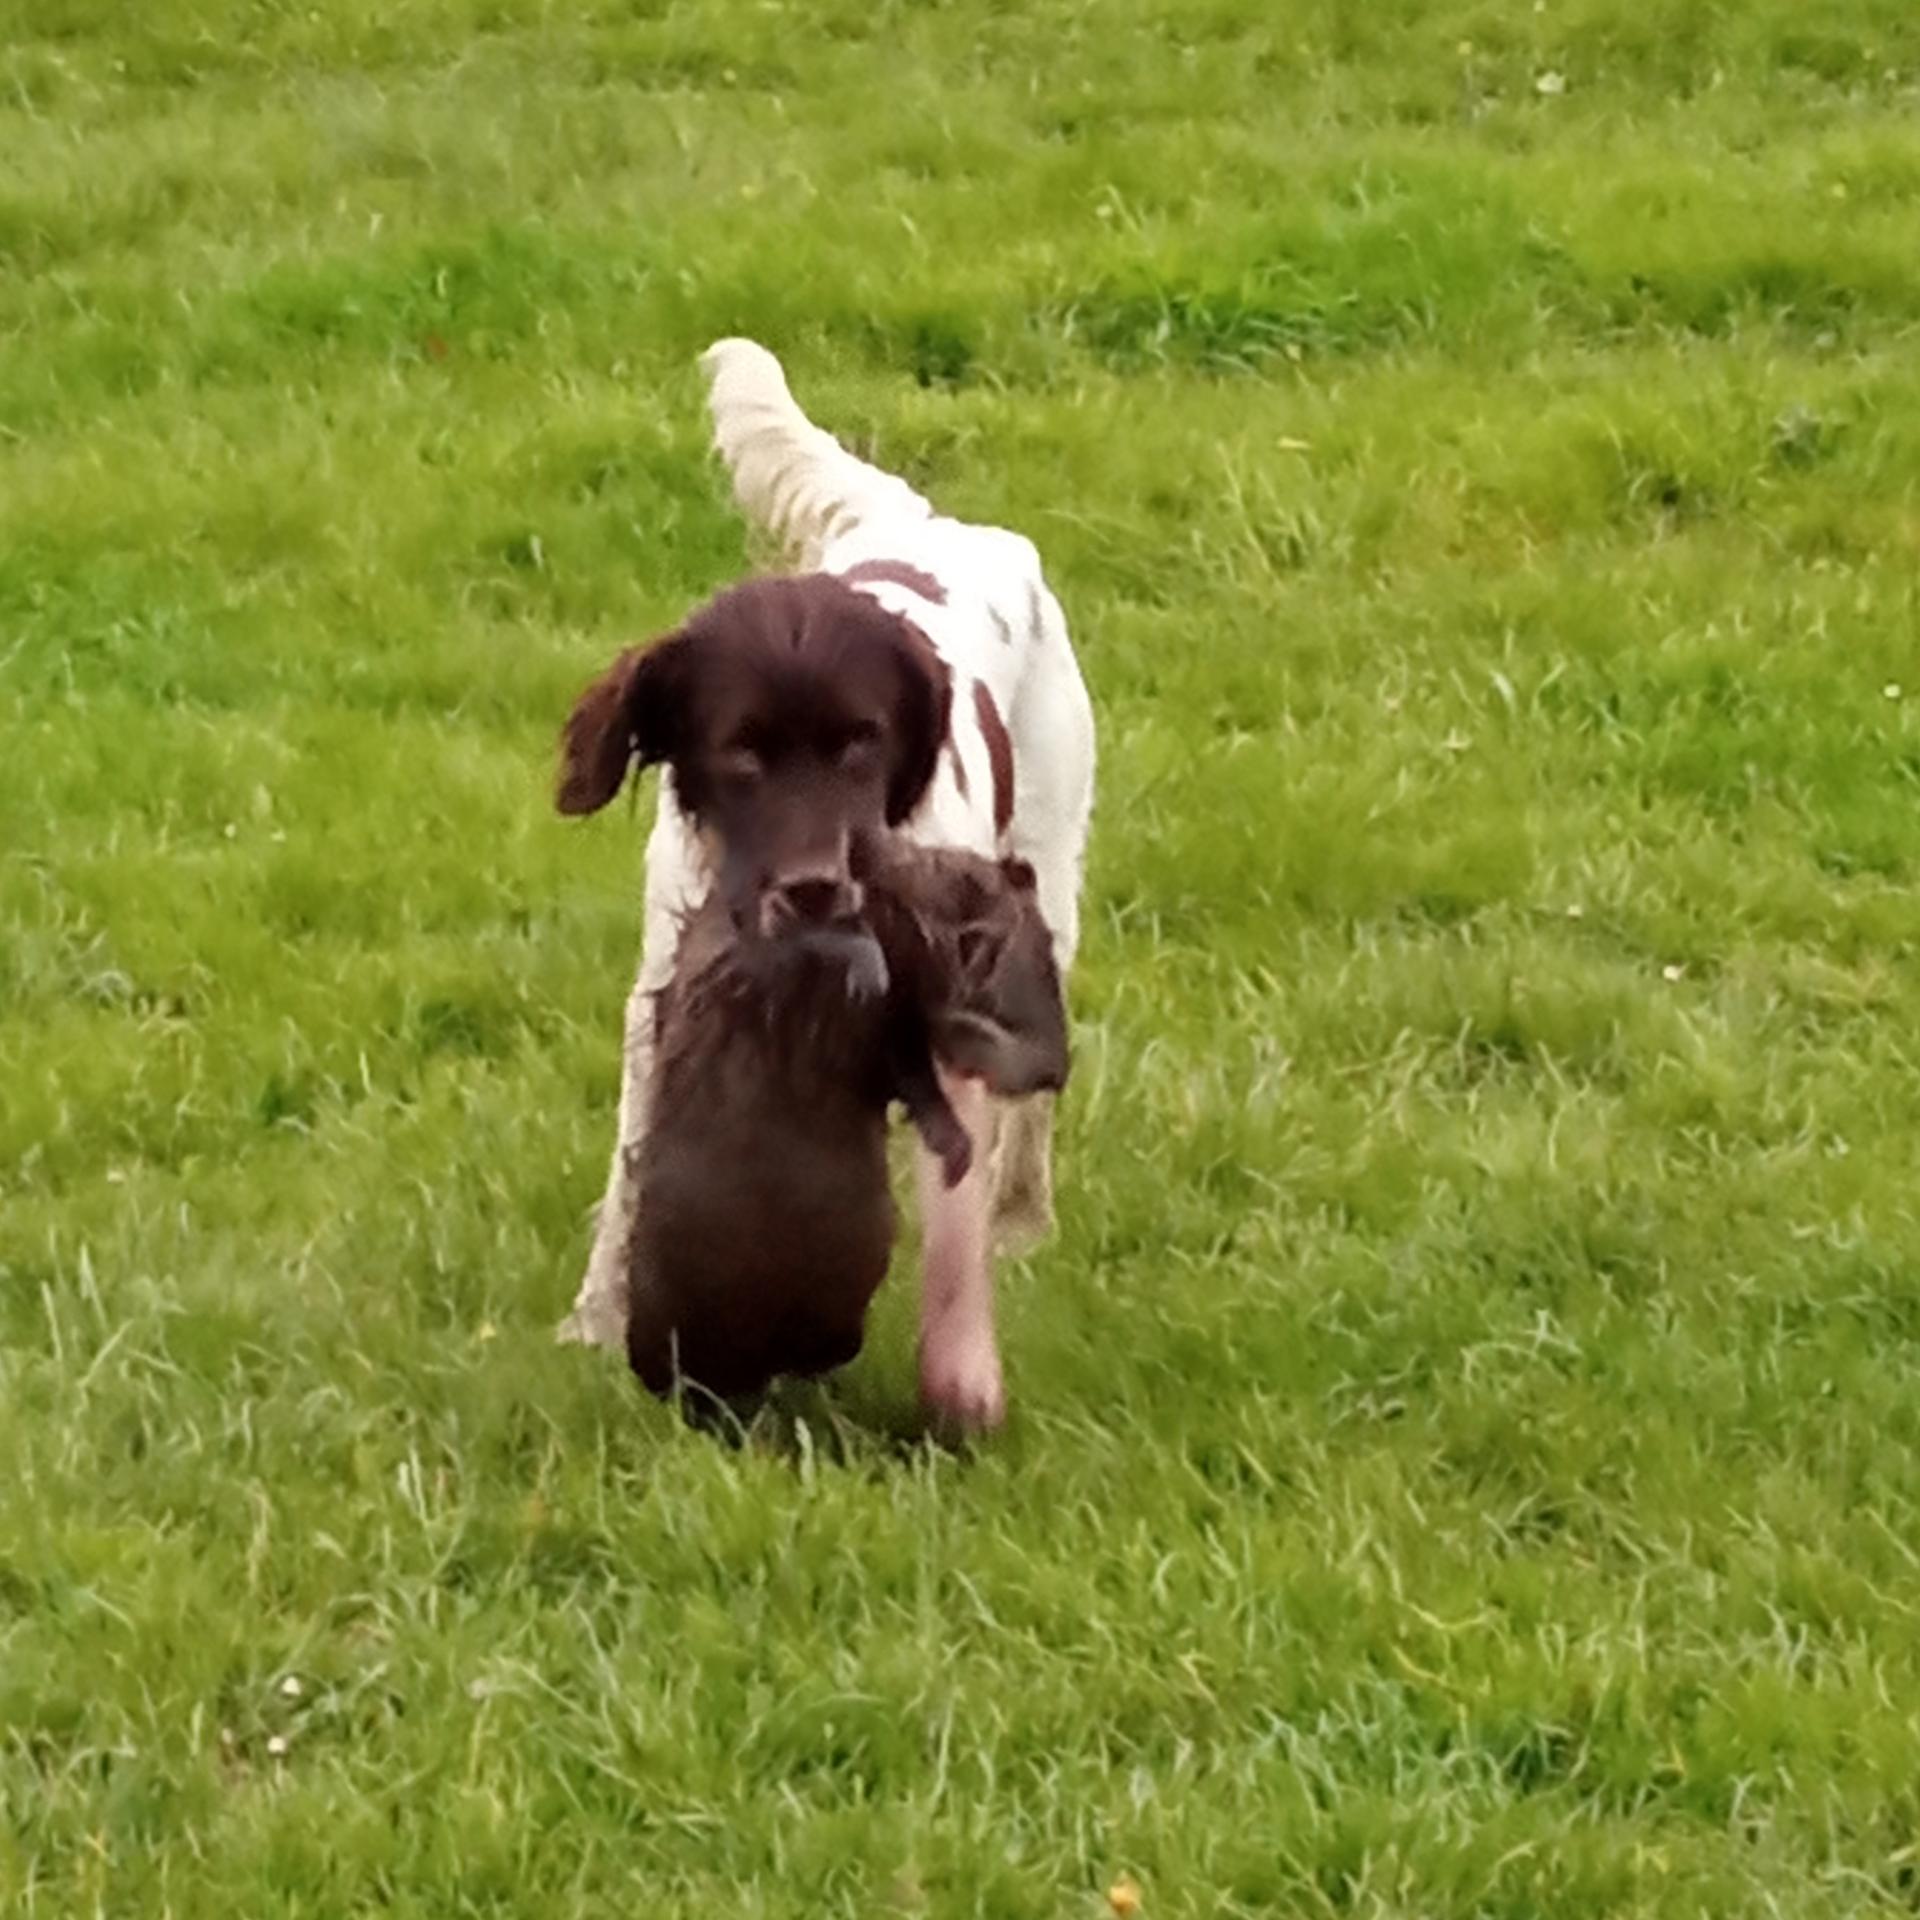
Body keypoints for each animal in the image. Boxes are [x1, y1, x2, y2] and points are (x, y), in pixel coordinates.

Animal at [560, 337, 1098, 1436]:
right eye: (741, 755)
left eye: (862, 742)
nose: (813, 890)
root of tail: (930, 524)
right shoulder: (662, 989)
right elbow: (634, 1163)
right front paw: (598, 1319)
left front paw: (960, 1375)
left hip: (1055, 876)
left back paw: (1023, 1222)